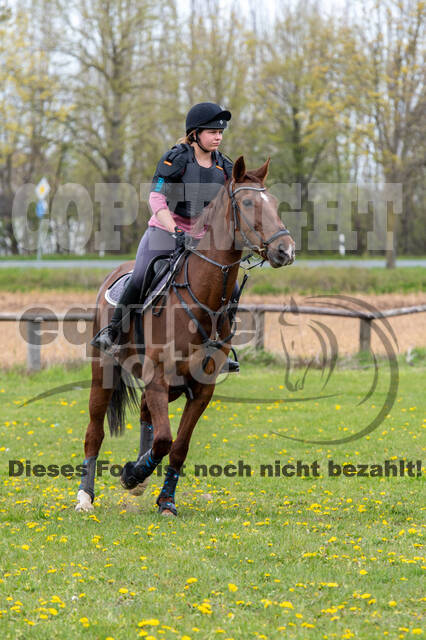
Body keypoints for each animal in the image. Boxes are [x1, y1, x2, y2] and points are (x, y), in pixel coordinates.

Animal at [75, 158, 294, 516]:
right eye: (248, 203)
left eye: (274, 203)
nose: (285, 250)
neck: (202, 297)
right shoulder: (158, 377)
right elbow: (165, 439)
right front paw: (132, 475)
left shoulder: (201, 388)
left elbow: (178, 446)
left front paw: (164, 499)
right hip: (104, 372)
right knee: (95, 431)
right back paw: (85, 497)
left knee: (147, 415)